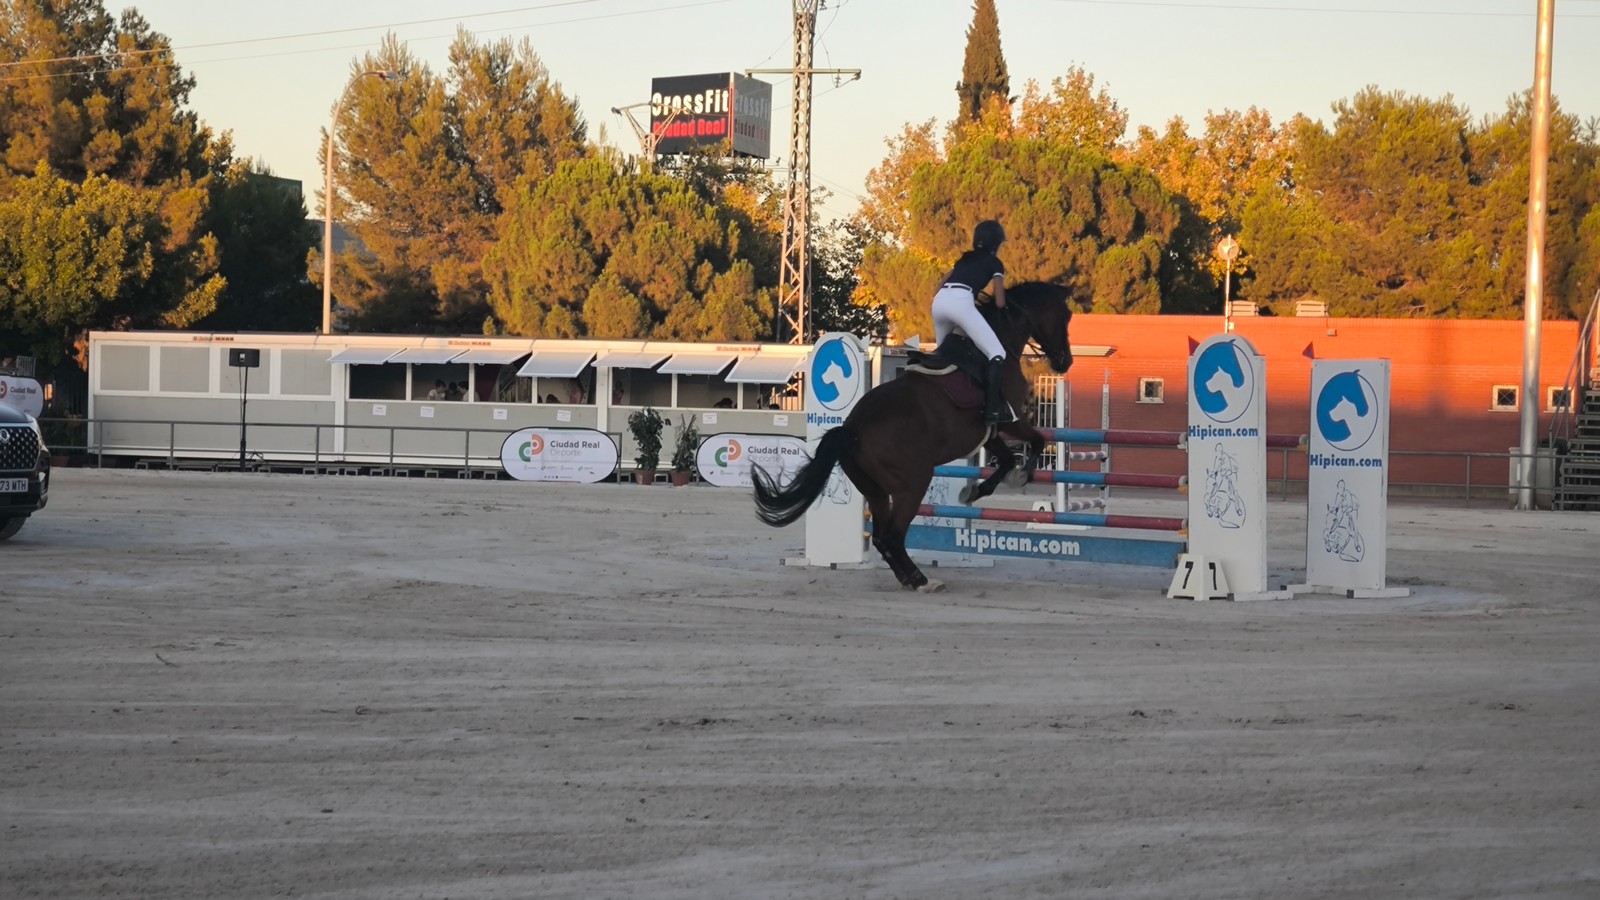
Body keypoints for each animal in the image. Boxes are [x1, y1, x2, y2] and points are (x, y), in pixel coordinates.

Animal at [748, 280, 1075, 589]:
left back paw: (909, 577)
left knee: (882, 536)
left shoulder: (991, 432)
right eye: (1066, 315)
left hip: (876, 490)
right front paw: (1020, 476)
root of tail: (851, 429)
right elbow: (1036, 441)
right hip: (913, 483)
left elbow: (1007, 460)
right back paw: (920, 580)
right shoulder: (1009, 421)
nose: (1065, 362)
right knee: (892, 535)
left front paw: (976, 490)